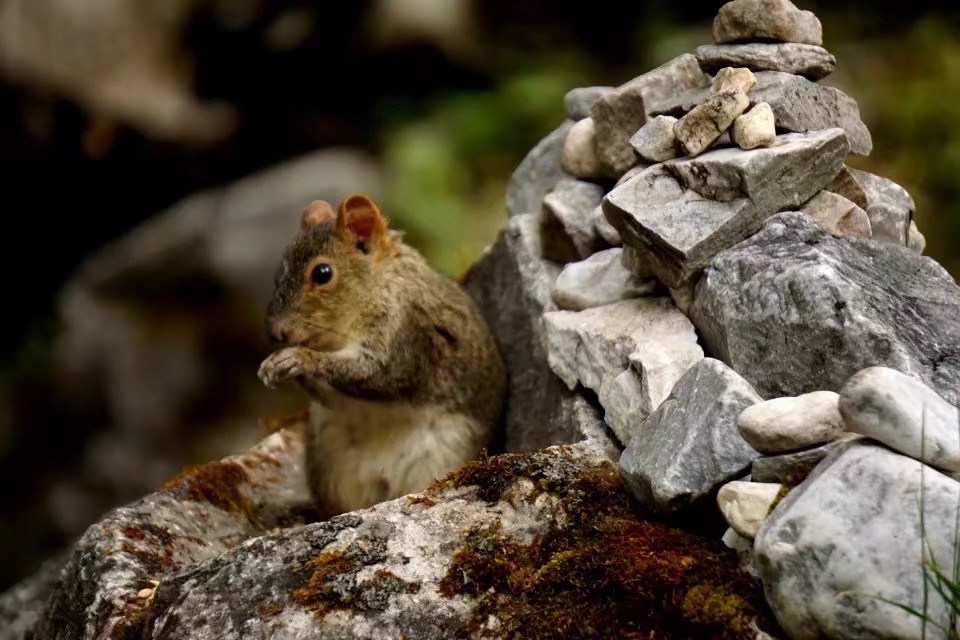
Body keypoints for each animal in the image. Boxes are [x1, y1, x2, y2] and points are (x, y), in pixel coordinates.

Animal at [255, 195, 510, 516]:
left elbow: (379, 375)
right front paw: (275, 363)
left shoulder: (406, 335)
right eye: (280, 271)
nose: (276, 332)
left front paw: (299, 358)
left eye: (322, 273)